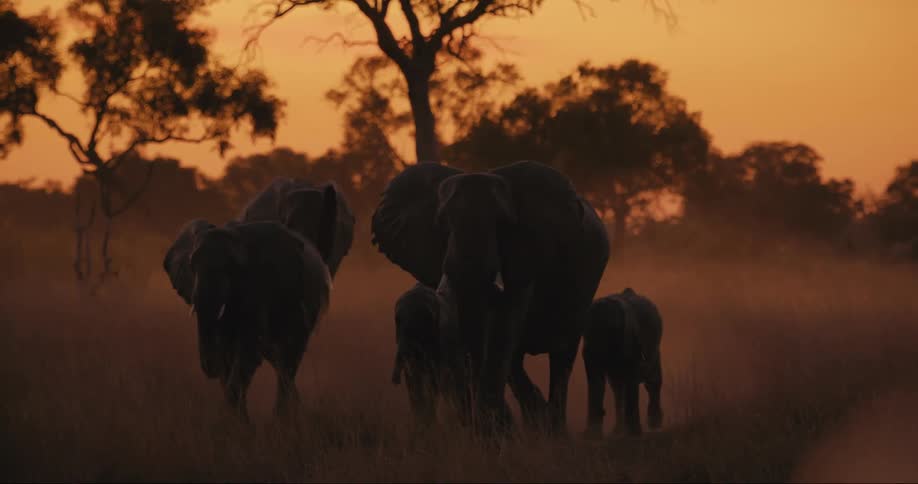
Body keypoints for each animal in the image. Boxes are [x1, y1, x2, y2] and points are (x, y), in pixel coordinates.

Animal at [162, 219, 332, 423]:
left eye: (232, 268)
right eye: (191, 265)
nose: (209, 367)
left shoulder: (259, 288)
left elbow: (247, 352)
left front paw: (232, 421)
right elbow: (228, 352)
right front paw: (238, 423)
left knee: (288, 357)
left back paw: (283, 420)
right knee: (277, 358)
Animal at [371, 160, 609, 436]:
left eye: (503, 224)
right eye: (443, 223)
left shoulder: (526, 257)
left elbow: (504, 324)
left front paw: (493, 430)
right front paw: (492, 430)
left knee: (562, 354)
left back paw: (551, 428)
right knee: (517, 360)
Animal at [582, 288, 664, 438]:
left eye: (613, 328)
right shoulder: (589, 346)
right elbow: (599, 381)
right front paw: (592, 435)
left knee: (648, 380)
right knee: (618, 387)